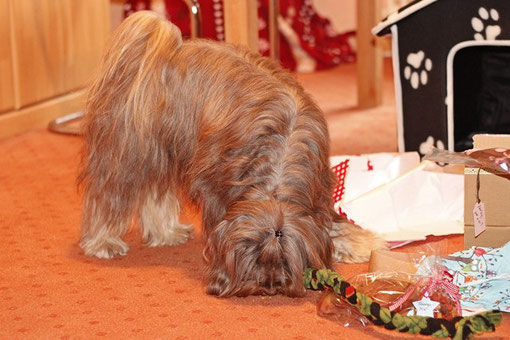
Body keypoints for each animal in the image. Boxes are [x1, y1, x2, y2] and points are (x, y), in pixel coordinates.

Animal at [78, 11, 382, 298]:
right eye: (256, 255)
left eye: (285, 260)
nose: (269, 285)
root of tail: (167, 50)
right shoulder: (216, 185)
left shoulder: (320, 187)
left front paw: (360, 243)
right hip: (128, 151)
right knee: (110, 195)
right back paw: (103, 241)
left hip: (165, 149)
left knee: (155, 192)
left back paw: (167, 233)